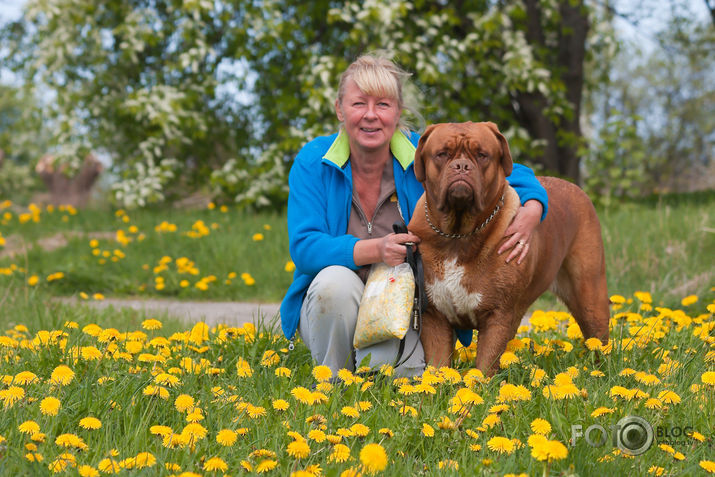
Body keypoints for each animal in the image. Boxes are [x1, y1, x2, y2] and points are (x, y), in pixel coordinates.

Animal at [408, 121, 608, 374]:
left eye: (482, 155)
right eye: (442, 154)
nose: (462, 166)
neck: (458, 235)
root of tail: (576, 188)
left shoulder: (497, 315)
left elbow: (484, 366)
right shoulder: (435, 315)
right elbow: (439, 365)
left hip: (590, 293)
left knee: (597, 337)